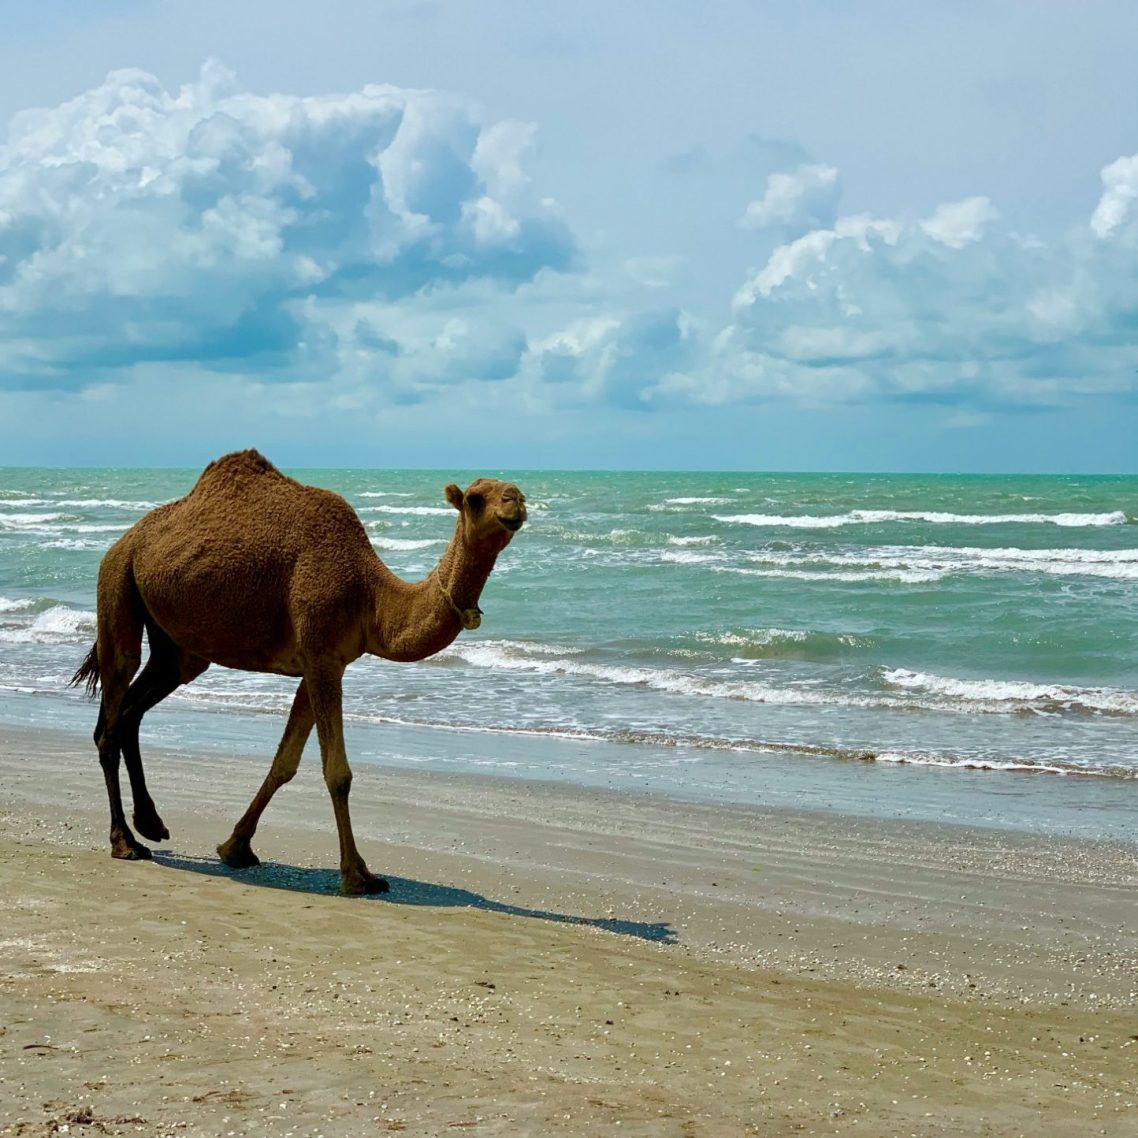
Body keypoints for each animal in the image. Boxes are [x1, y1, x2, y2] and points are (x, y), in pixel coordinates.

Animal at [72, 449, 526, 895]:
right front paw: (356, 876)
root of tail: (123, 542)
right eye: (475, 498)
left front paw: (235, 847)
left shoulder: (321, 663)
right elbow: (337, 772)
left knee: (132, 710)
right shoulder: (321, 655)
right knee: (114, 704)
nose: (516, 500)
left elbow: (284, 763)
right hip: (116, 584)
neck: (369, 595)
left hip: (176, 646)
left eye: (512, 491)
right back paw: (125, 843)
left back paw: (151, 824)